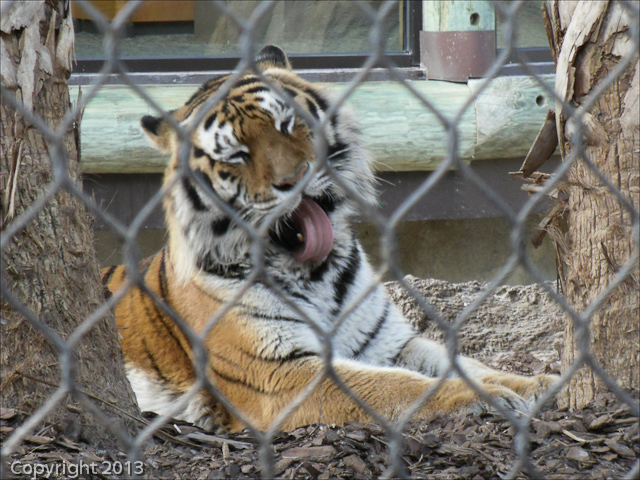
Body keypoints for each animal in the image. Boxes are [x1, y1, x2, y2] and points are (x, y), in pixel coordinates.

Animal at [102, 45, 556, 434]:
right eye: (236, 155)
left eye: (287, 123)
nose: (294, 179)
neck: (315, 273)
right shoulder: (278, 372)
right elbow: (397, 385)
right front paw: (487, 397)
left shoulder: (389, 341)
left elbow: (463, 362)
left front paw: (533, 382)